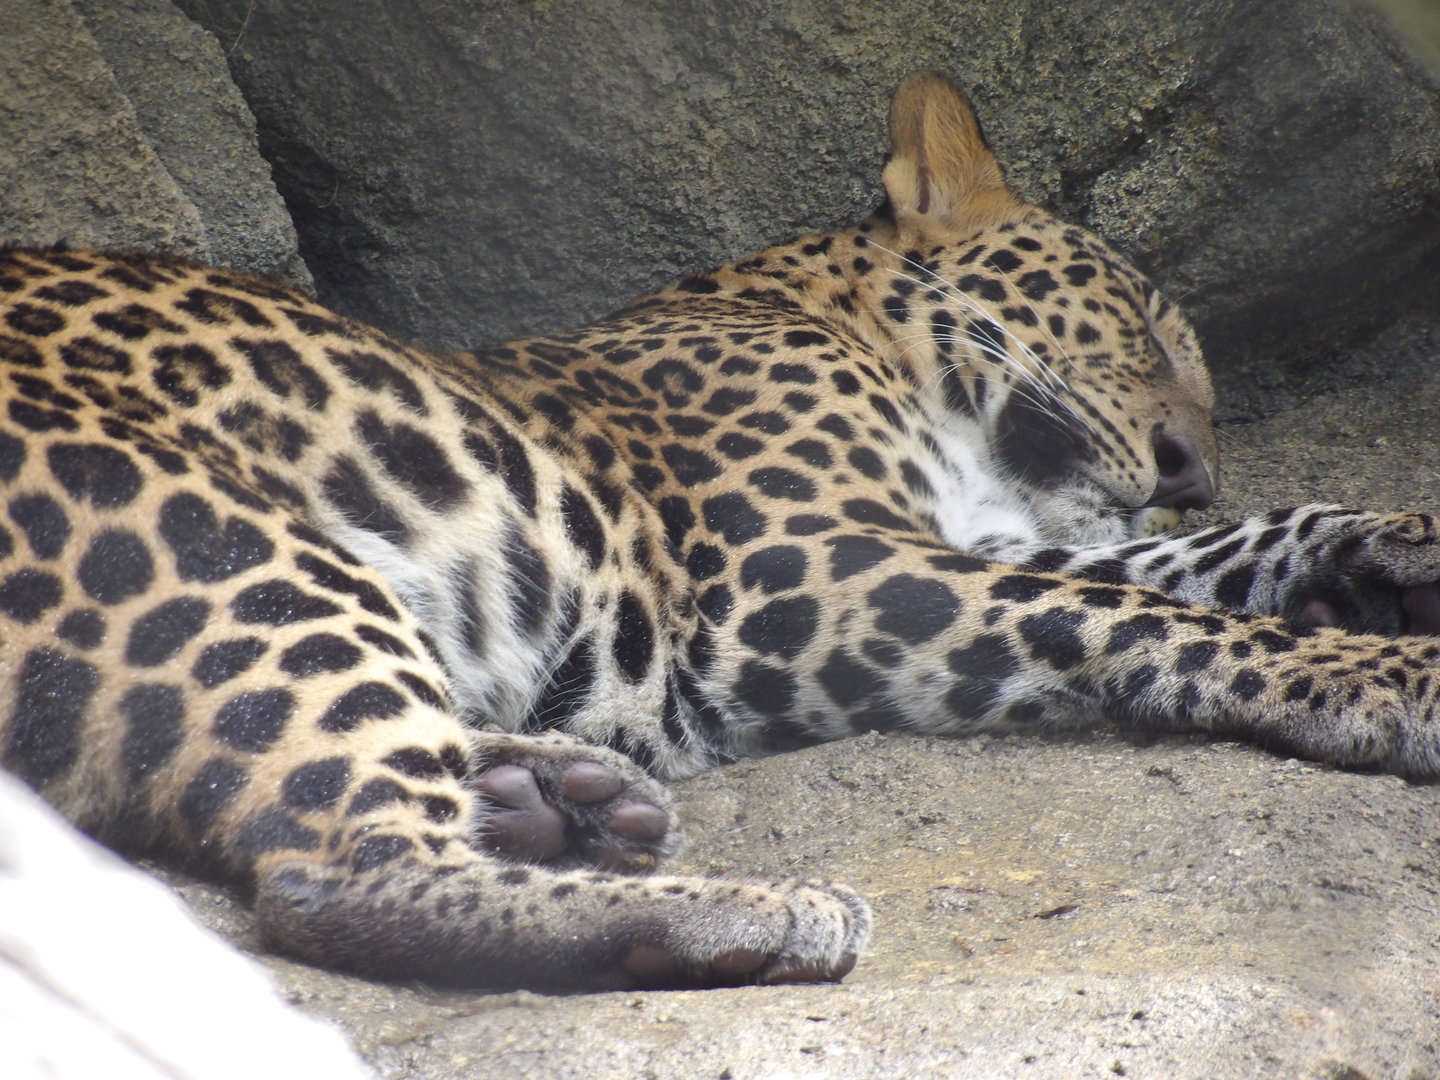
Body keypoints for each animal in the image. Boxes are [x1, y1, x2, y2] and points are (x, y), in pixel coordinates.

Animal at [4, 71, 1440, 993]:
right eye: (1137, 320)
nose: (1191, 467)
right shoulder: (810, 575)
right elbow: (1140, 608)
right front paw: (1392, 678)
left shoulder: (949, 542)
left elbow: (1177, 566)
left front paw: (1388, 550)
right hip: (235, 545)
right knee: (333, 869)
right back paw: (750, 909)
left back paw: (556, 797)